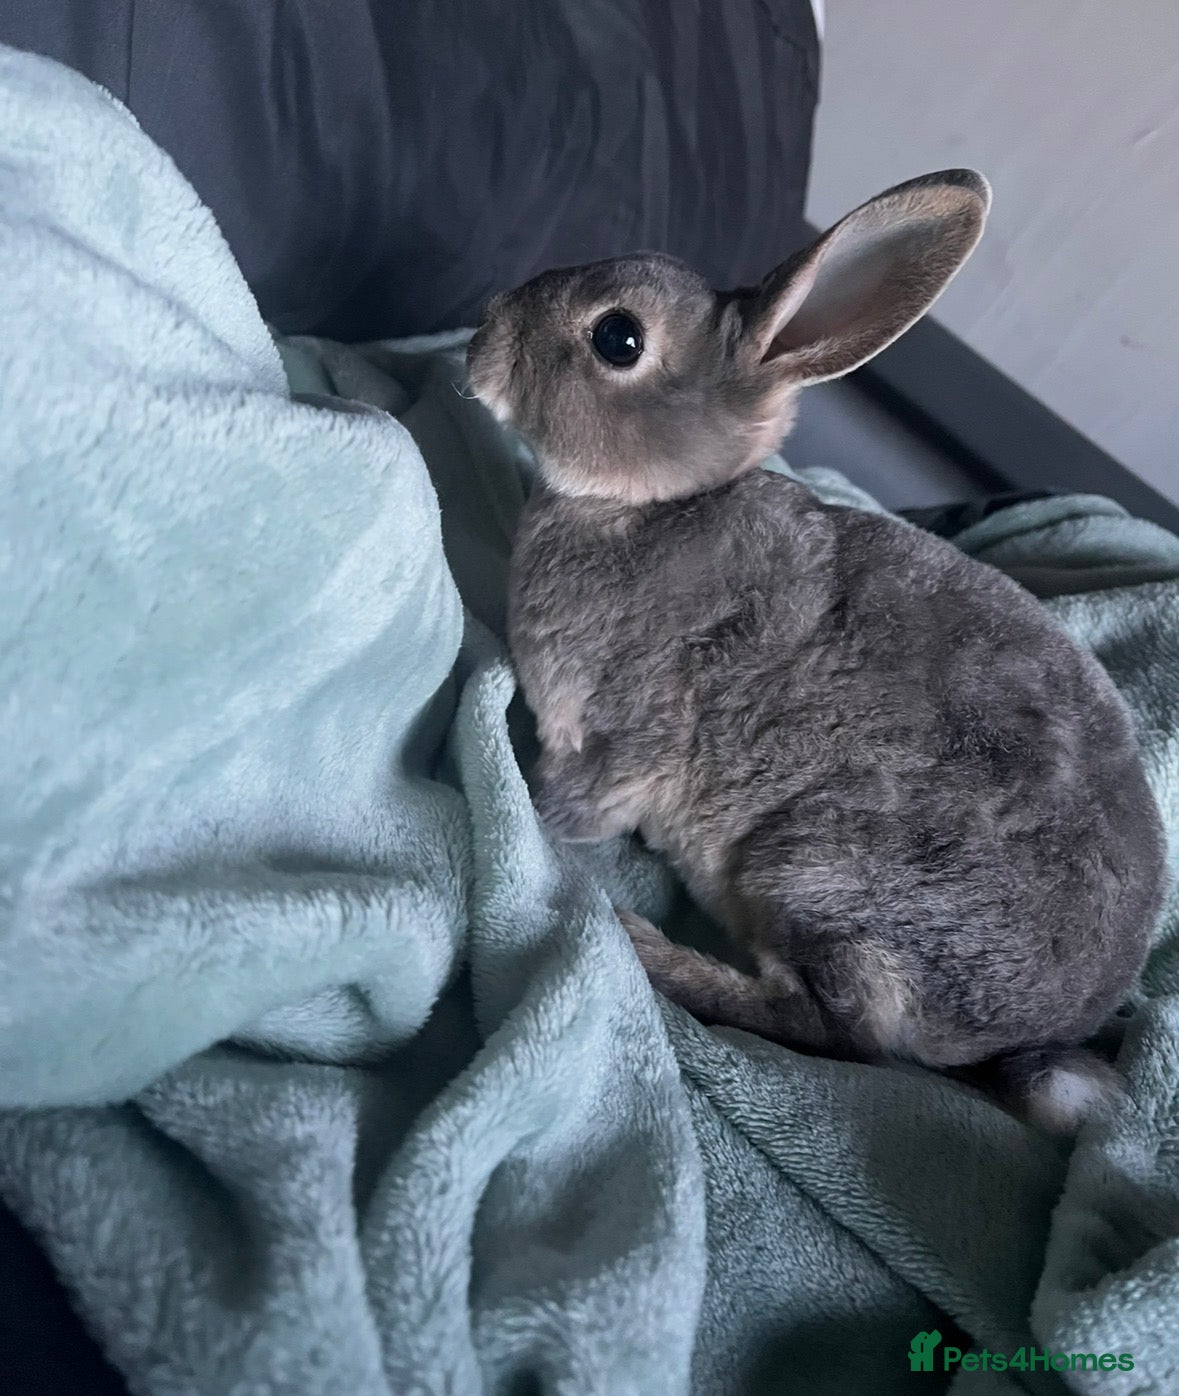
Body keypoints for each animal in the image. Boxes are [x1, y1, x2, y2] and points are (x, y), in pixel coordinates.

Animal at [465, 169, 1168, 1134]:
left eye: (618, 338)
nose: (479, 343)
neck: (647, 508)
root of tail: (1031, 1038)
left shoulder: (626, 737)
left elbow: (571, 805)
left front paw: (537, 827)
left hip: (816, 870)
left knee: (833, 1032)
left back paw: (655, 954)